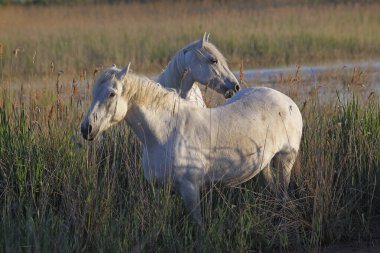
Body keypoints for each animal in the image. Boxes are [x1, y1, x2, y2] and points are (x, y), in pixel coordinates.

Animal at [80, 64, 302, 224]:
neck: (165, 133)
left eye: (111, 94)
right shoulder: (158, 189)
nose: (86, 128)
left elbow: (198, 225)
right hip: (263, 165)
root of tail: (288, 102)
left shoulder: (190, 189)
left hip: (285, 159)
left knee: (283, 195)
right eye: (93, 93)